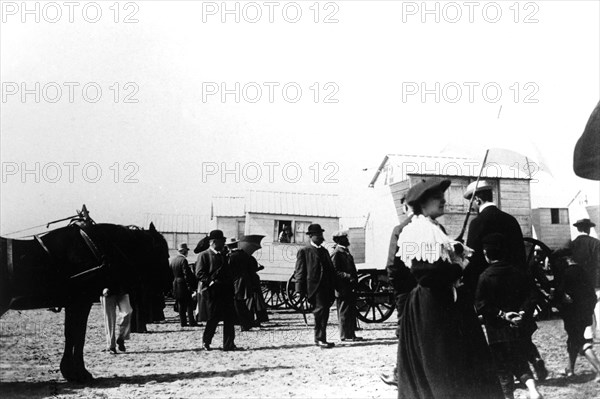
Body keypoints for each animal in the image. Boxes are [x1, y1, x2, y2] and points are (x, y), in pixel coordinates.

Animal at [0, 223, 171, 382]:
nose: (167, 285)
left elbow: (71, 335)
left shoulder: (73, 304)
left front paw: (70, 371)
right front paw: (80, 372)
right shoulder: (81, 303)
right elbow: (78, 335)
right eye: (162, 251)